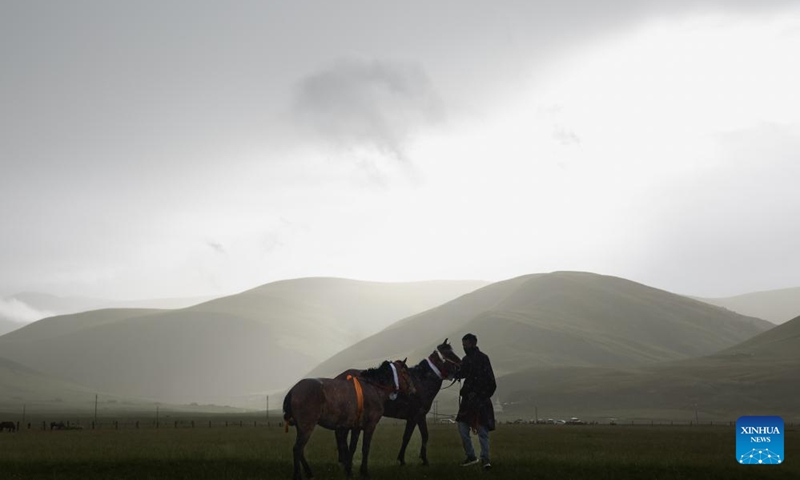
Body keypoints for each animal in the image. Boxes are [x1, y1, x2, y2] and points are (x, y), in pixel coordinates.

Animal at [284, 358, 416, 478]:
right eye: (405, 373)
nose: (413, 390)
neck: (373, 388)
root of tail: (293, 390)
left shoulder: (355, 427)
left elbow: (352, 447)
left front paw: (348, 470)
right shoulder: (370, 426)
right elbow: (365, 448)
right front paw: (364, 471)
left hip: (301, 428)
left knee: (300, 450)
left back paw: (308, 472)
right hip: (307, 427)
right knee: (297, 449)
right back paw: (298, 474)